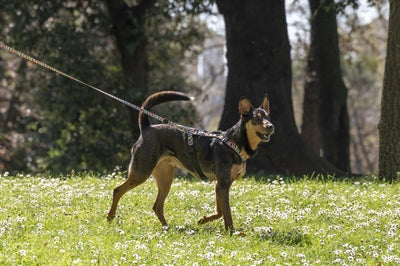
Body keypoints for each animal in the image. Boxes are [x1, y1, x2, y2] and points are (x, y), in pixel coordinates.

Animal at [108, 90, 274, 232]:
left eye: (268, 117)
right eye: (256, 118)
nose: (271, 126)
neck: (234, 143)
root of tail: (147, 128)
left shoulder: (219, 185)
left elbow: (220, 212)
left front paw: (203, 220)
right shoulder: (222, 185)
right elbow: (227, 213)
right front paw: (232, 232)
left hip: (165, 178)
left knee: (157, 206)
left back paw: (167, 227)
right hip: (141, 172)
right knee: (117, 190)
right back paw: (110, 217)